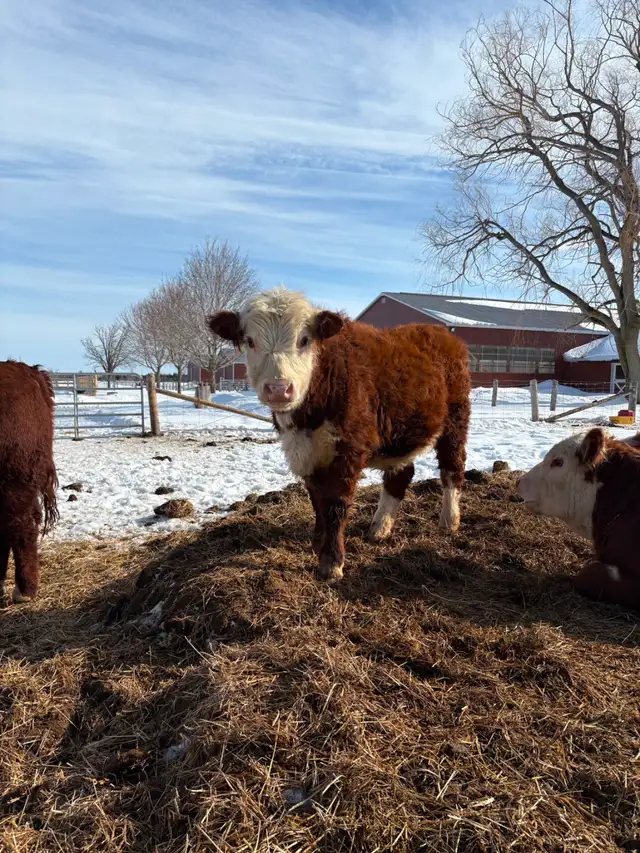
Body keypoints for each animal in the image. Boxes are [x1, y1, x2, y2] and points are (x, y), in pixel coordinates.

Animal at [209, 288, 470, 581]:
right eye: (250, 340)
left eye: (304, 339)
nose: (278, 388)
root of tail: (440, 333)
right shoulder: (306, 452)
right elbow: (317, 501)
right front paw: (318, 543)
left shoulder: (348, 448)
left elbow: (335, 502)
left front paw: (332, 563)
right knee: (401, 475)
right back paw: (380, 528)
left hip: (455, 421)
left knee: (452, 467)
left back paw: (449, 521)